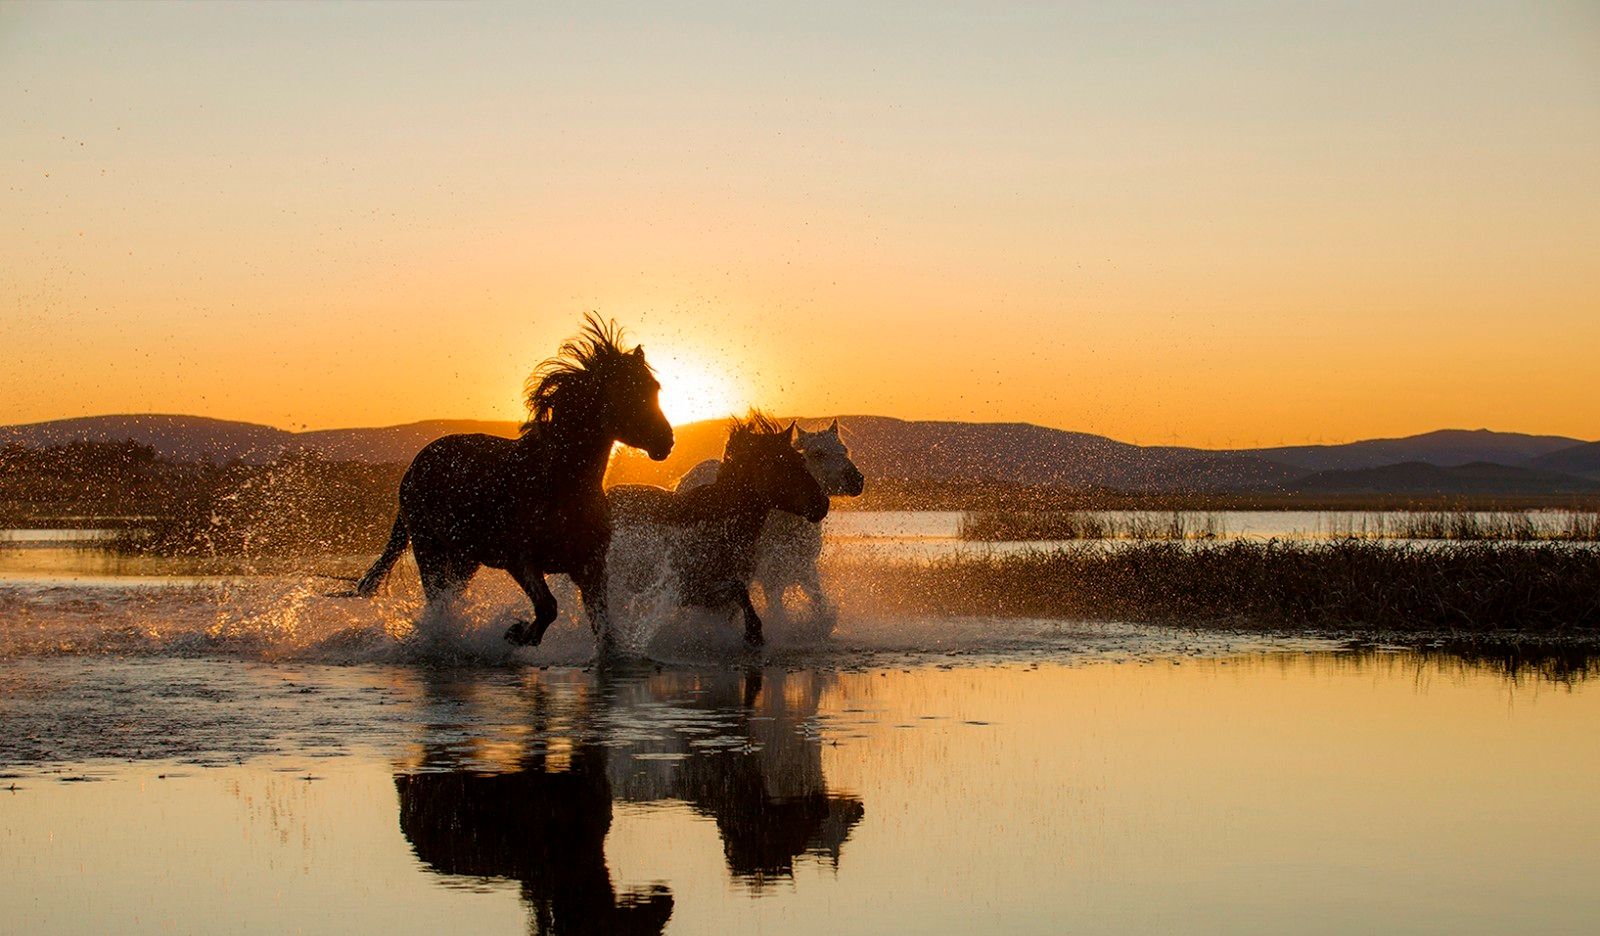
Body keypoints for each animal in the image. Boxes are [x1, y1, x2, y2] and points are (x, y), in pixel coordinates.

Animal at [350, 315, 673, 652]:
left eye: (653, 387)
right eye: (623, 391)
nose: (666, 442)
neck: (561, 482)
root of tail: (415, 465)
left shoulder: (591, 567)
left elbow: (604, 630)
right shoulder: (520, 561)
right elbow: (548, 607)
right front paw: (517, 633)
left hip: (466, 558)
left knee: (451, 597)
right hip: (429, 547)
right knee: (438, 600)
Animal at [607, 414, 828, 646]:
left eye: (801, 459)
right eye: (778, 463)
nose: (822, 503)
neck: (720, 521)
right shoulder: (691, 588)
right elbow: (738, 592)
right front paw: (753, 633)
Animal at [675, 419, 863, 631]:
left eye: (844, 449)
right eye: (818, 453)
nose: (857, 480)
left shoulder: (804, 568)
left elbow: (819, 605)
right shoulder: (769, 577)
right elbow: (776, 611)